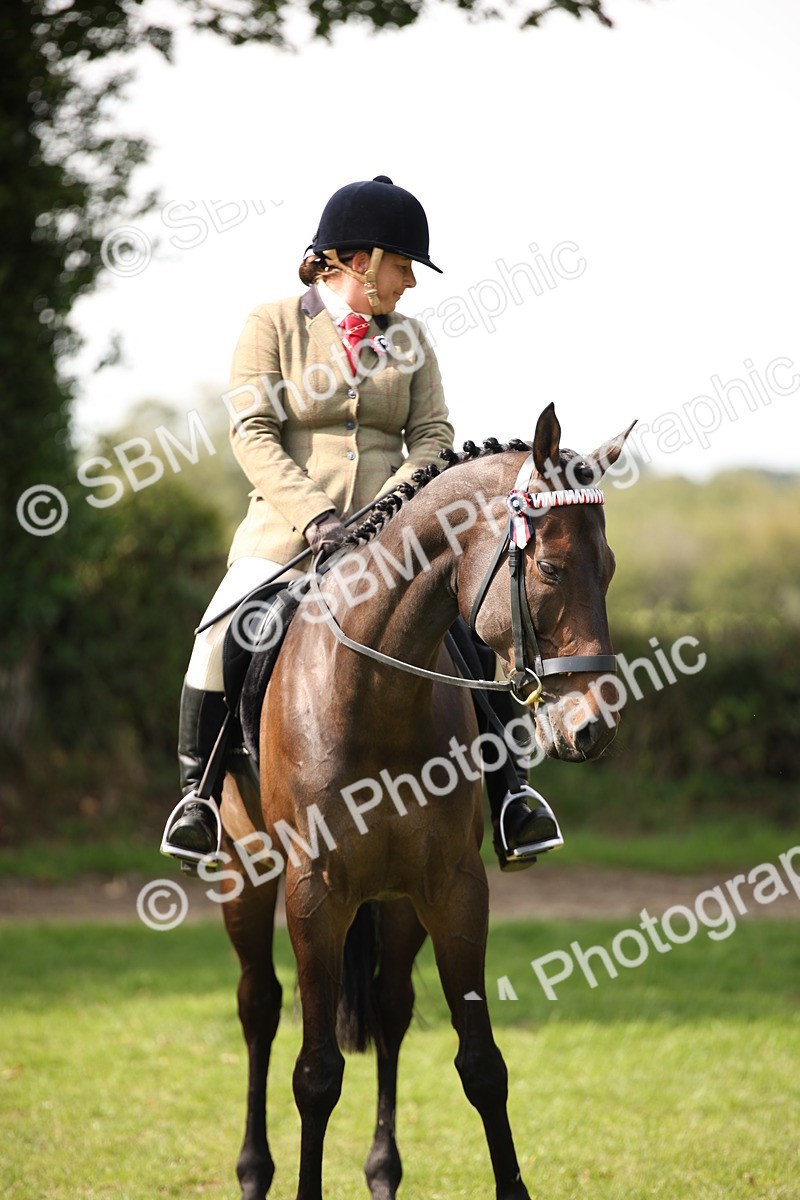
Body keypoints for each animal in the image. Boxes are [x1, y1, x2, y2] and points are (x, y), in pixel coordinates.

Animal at [212, 402, 634, 1200]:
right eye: (552, 568)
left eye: (611, 571)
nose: (592, 728)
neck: (374, 691)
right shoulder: (313, 894)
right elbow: (315, 1073)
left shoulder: (452, 889)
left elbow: (483, 1065)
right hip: (243, 877)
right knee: (258, 1005)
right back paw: (253, 1170)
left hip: (397, 901)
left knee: (389, 1008)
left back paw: (383, 1172)